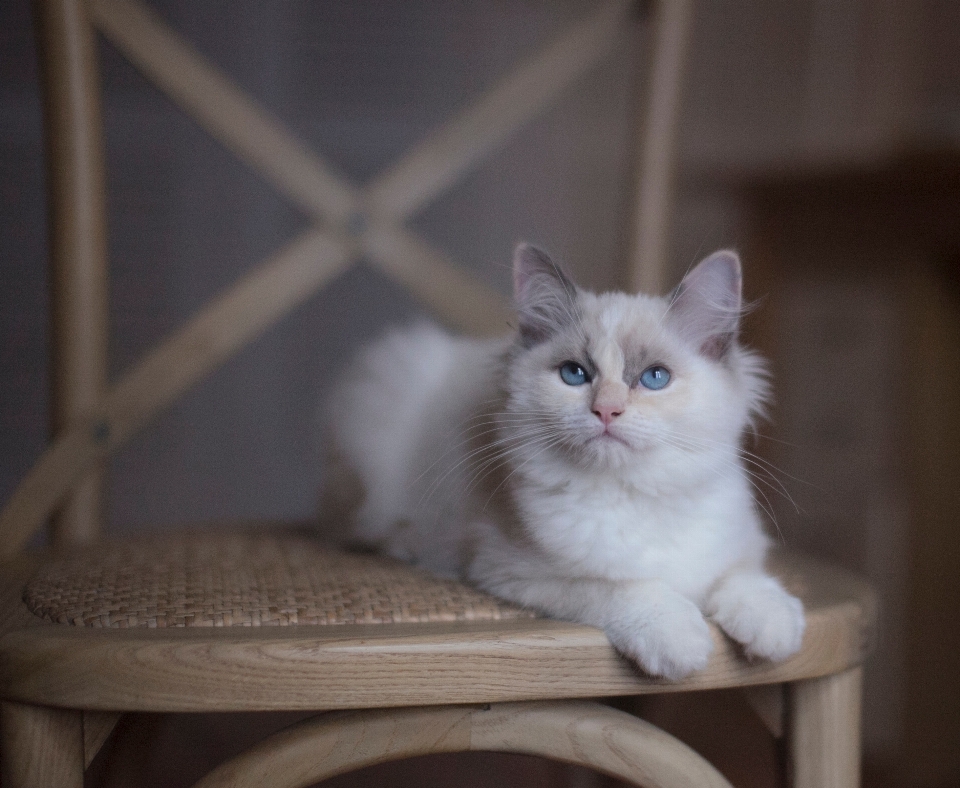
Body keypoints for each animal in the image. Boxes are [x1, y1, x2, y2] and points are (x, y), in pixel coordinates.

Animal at [326, 245, 808, 676]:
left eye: (654, 378)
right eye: (575, 374)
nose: (607, 410)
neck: (635, 493)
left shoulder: (735, 547)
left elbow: (745, 579)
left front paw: (775, 630)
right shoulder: (515, 569)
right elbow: (630, 589)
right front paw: (680, 641)